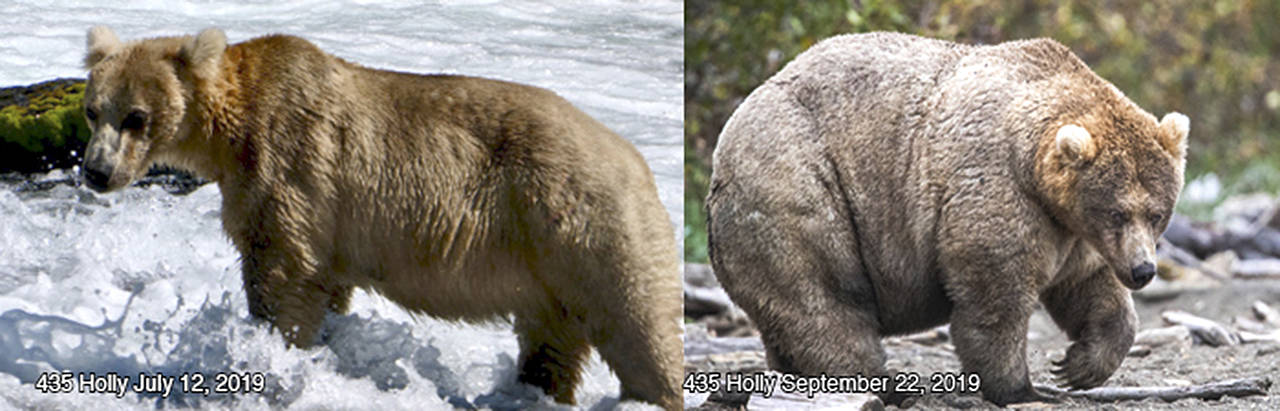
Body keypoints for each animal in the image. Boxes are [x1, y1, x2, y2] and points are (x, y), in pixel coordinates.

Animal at [79, 26, 681, 409]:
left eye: (136, 117)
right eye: (92, 110)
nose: (96, 172)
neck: (233, 126)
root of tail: (638, 162)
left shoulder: (289, 164)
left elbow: (282, 270)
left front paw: (270, 352)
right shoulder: (325, 218)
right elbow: (325, 283)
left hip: (580, 225)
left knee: (636, 323)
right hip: (548, 267)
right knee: (551, 343)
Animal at [706, 32, 1187, 406]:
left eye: (1157, 213)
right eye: (1117, 211)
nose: (1143, 271)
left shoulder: (1073, 232)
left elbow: (1089, 288)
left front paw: (1078, 365)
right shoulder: (998, 188)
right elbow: (995, 295)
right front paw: (1020, 387)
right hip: (797, 186)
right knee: (824, 297)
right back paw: (881, 382)